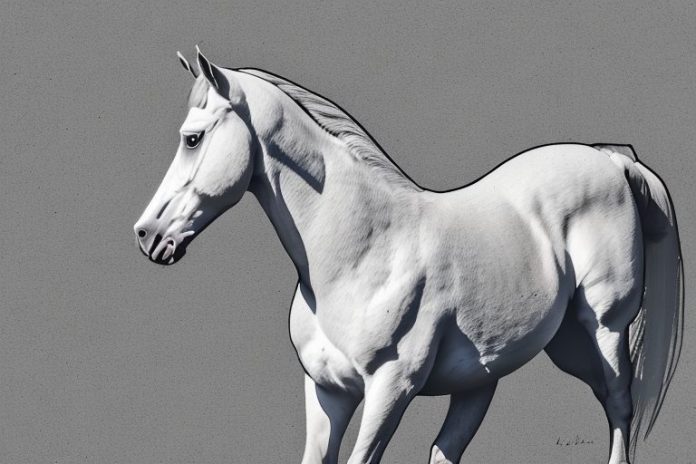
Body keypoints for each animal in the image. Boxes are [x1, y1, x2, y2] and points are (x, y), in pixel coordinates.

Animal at [133, 48, 683, 464]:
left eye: (192, 138)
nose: (147, 234)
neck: (359, 253)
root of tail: (611, 159)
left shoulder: (390, 388)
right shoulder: (327, 392)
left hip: (602, 329)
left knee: (619, 406)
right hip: (505, 368)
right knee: (450, 449)